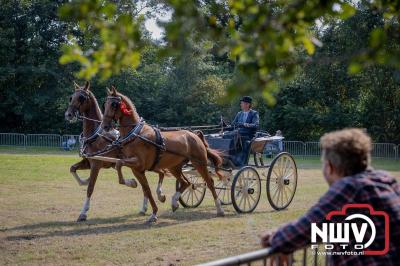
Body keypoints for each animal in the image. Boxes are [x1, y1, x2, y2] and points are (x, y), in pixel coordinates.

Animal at [64, 82, 167, 221]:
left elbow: (90, 188)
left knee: (157, 176)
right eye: (71, 97)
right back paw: (145, 207)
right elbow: (73, 168)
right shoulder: (89, 162)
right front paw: (84, 181)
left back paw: (157, 196)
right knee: (152, 180)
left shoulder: (96, 165)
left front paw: (83, 212)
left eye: (81, 98)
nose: (68, 114)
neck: (96, 136)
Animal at [100, 87, 225, 222]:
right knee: (186, 182)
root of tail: (194, 135)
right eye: (105, 104)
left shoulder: (138, 163)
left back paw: (220, 209)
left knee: (210, 183)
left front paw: (134, 185)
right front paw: (153, 211)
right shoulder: (137, 169)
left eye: (113, 105)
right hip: (174, 167)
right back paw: (174, 202)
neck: (135, 134)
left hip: (199, 163)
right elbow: (146, 189)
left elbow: (119, 164)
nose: (104, 126)